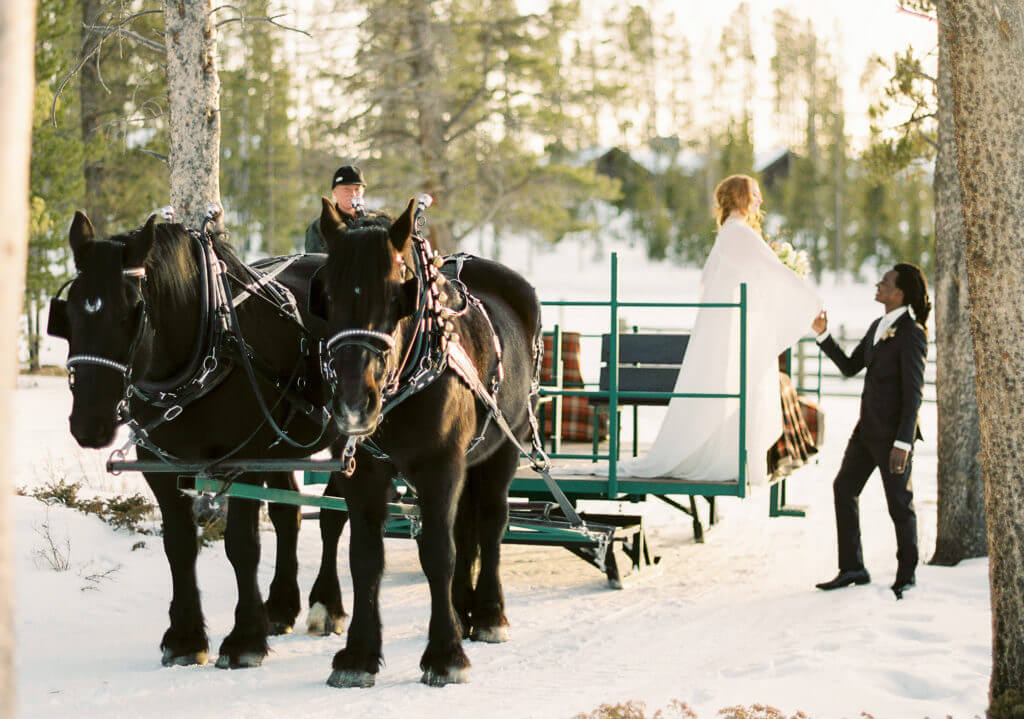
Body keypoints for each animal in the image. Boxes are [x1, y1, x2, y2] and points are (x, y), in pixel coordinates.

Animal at [57, 213, 352, 671]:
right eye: (69, 311)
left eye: (132, 312)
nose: (89, 423)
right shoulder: (160, 462)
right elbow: (179, 545)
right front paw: (185, 638)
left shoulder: (242, 460)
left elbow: (242, 545)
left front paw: (244, 640)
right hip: (279, 446)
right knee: (289, 516)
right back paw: (280, 607)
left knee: (335, 514)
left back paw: (326, 605)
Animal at [315, 196, 544, 688]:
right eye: (326, 294)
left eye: (395, 295)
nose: (353, 402)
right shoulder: (364, 471)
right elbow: (365, 556)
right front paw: (358, 655)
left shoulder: (441, 464)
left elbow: (439, 552)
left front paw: (445, 654)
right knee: (465, 527)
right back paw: (462, 609)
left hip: (507, 446)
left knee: (491, 522)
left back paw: (489, 614)